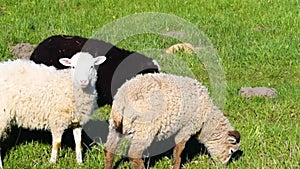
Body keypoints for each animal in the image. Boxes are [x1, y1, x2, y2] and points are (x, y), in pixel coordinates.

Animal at [105, 73, 241, 169]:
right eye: (231, 151)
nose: (223, 167)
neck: (206, 120)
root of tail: (123, 100)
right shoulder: (187, 128)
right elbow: (178, 152)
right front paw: (176, 166)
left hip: (114, 126)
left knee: (109, 149)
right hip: (144, 129)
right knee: (134, 154)